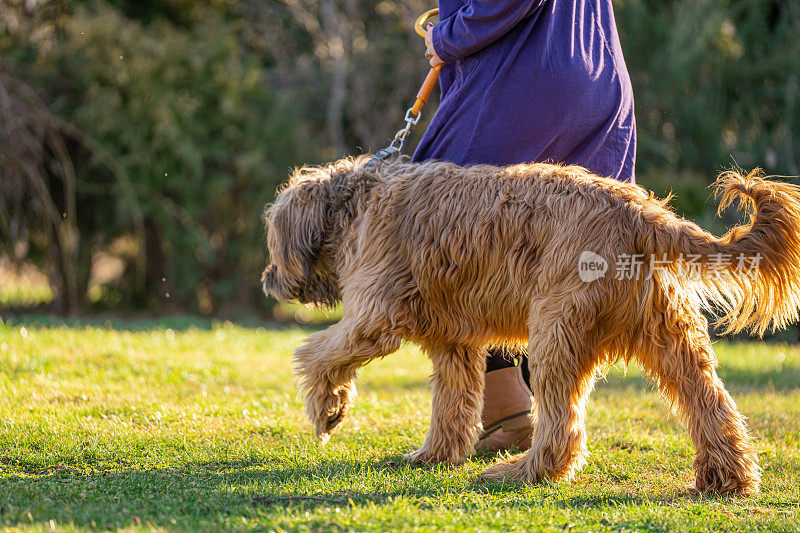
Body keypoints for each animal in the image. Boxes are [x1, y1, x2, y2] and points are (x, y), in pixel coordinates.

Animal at [260, 157, 800, 494]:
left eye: (272, 242)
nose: (268, 280)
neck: (356, 204)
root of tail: (640, 210)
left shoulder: (374, 315)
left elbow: (317, 353)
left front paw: (326, 408)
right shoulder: (454, 342)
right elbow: (451, 404)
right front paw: (435, 455)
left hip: (555, 331)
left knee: (564, 427)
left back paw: (522, 472)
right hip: (669, 335)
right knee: (710, 403)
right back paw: (726, 478)